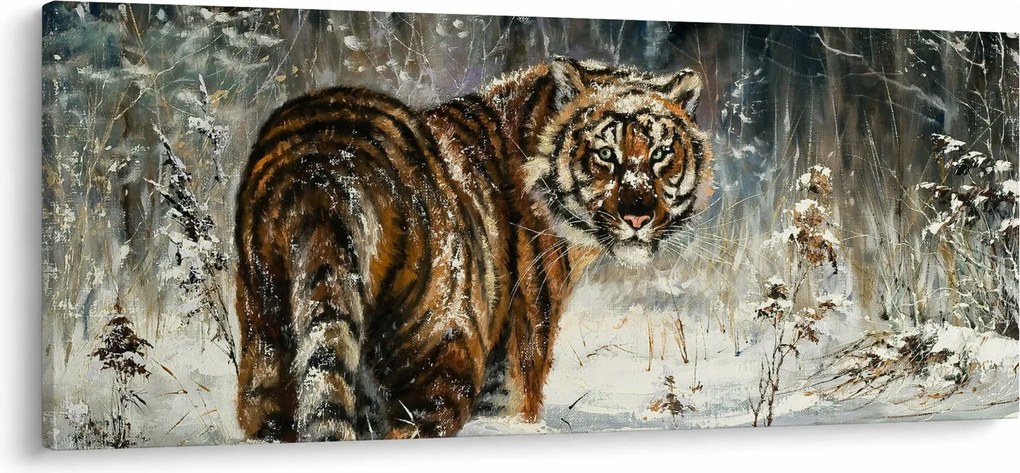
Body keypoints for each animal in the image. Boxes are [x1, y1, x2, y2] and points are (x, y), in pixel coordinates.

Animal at [234, 56, 713, 442]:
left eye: (661, 153)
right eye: (606, 155)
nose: (638, 216)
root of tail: (325, 162)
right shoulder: (516, 362)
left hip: (266, 341)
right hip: (441, 348)